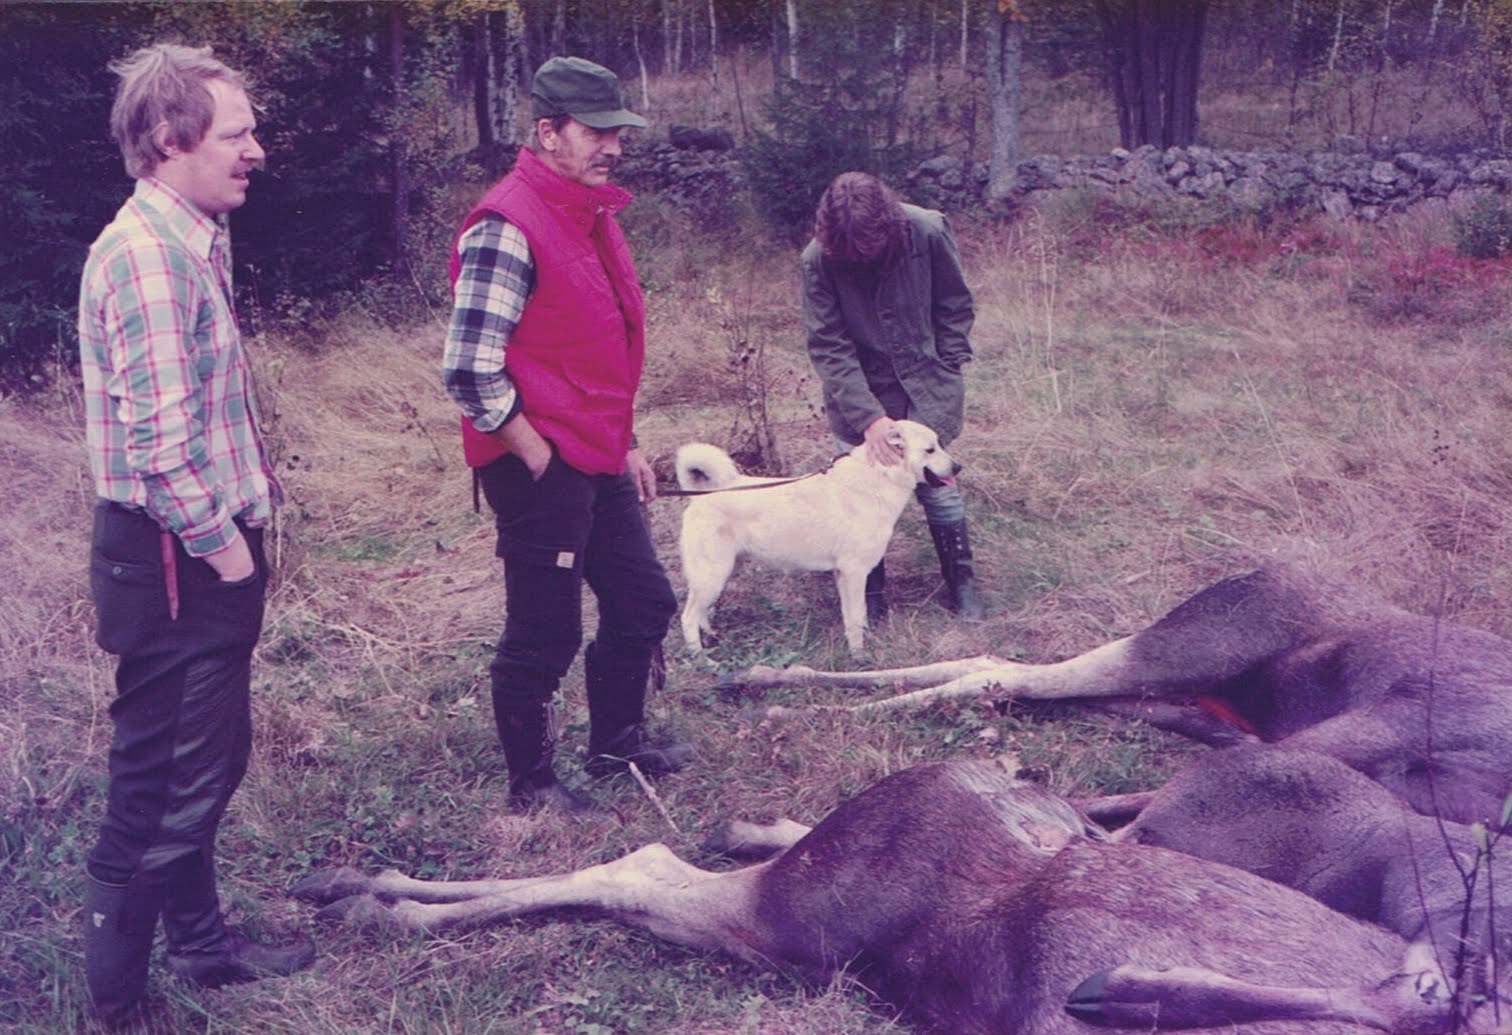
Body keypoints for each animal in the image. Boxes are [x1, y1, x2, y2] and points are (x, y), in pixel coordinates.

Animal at [674, 419, 959, 655]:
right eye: (930, 449)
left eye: (939, 445)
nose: (958, 467)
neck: (880, 476)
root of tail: (701, 494)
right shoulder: (854, 572)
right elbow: (855, 617)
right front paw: (859, 656)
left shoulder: (844, 575)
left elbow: (855, 616)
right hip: (713, 575)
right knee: (688, 616)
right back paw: (700, 657)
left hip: (722, 573)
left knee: (701, 612)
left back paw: (711, 637)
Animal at [722, 564, 1512, 828]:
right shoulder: (1387, 722)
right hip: (1190, 647)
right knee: (1006, 673)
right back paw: (779, 696)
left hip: (1191, 690)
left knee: (1006, 675)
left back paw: (773, 684)